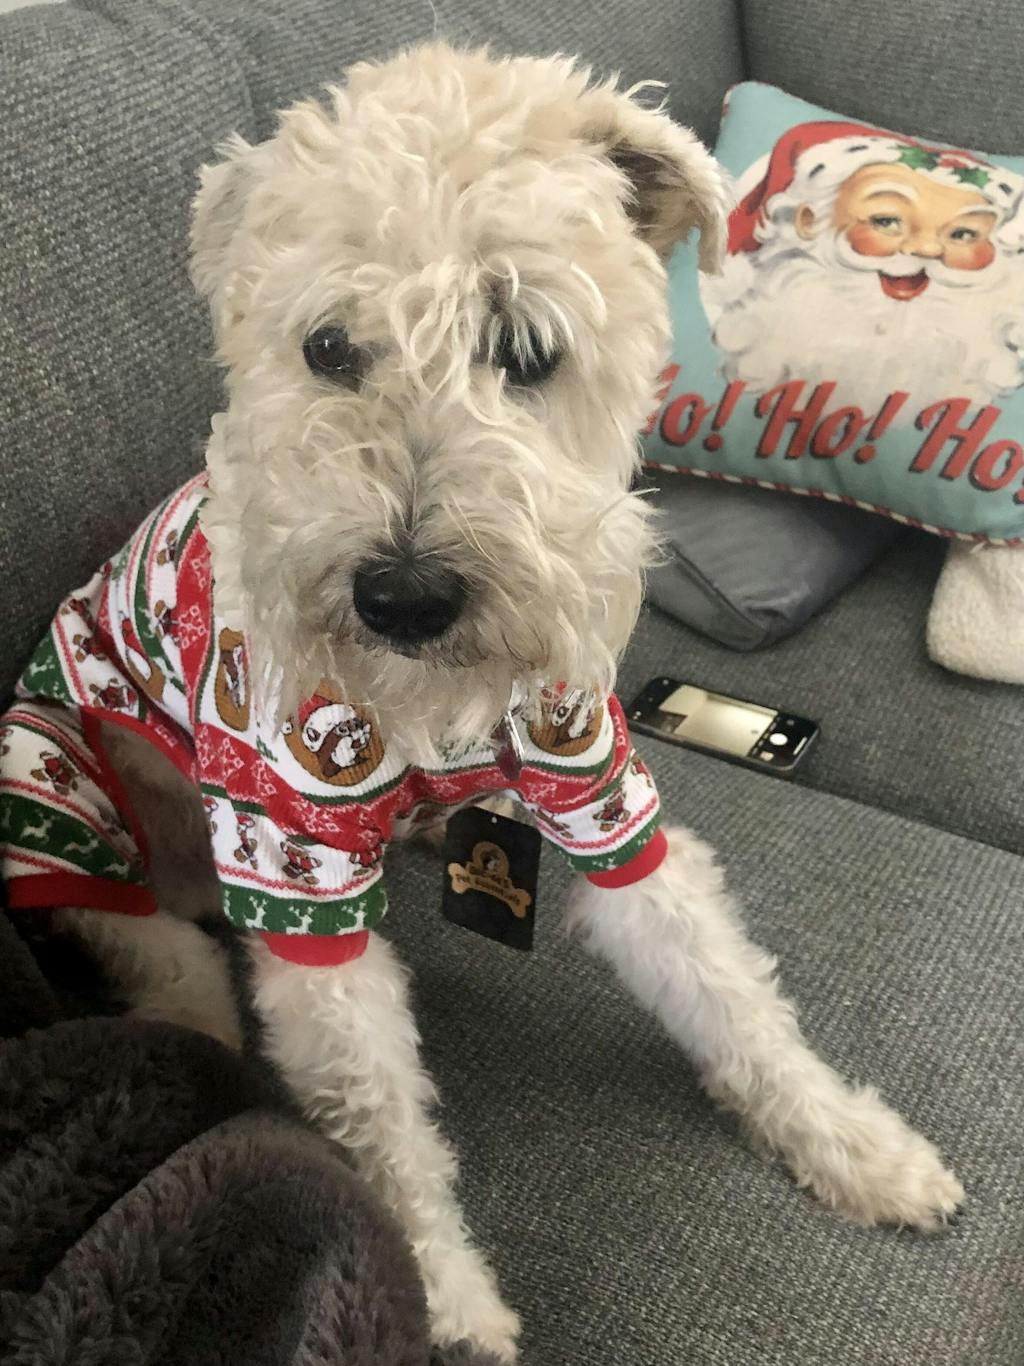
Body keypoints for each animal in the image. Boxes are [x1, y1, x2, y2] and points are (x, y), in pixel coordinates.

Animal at [0, 45, 962, 1361]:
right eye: (327, 345)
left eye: (527, 345)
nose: (404, 598)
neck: (430, 707)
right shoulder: (296, 865)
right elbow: (377, 1116)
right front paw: (448, 1302)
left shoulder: (597, 791)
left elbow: (729, 995)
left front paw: (857, 1146)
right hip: (48, 780)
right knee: (165, 957)